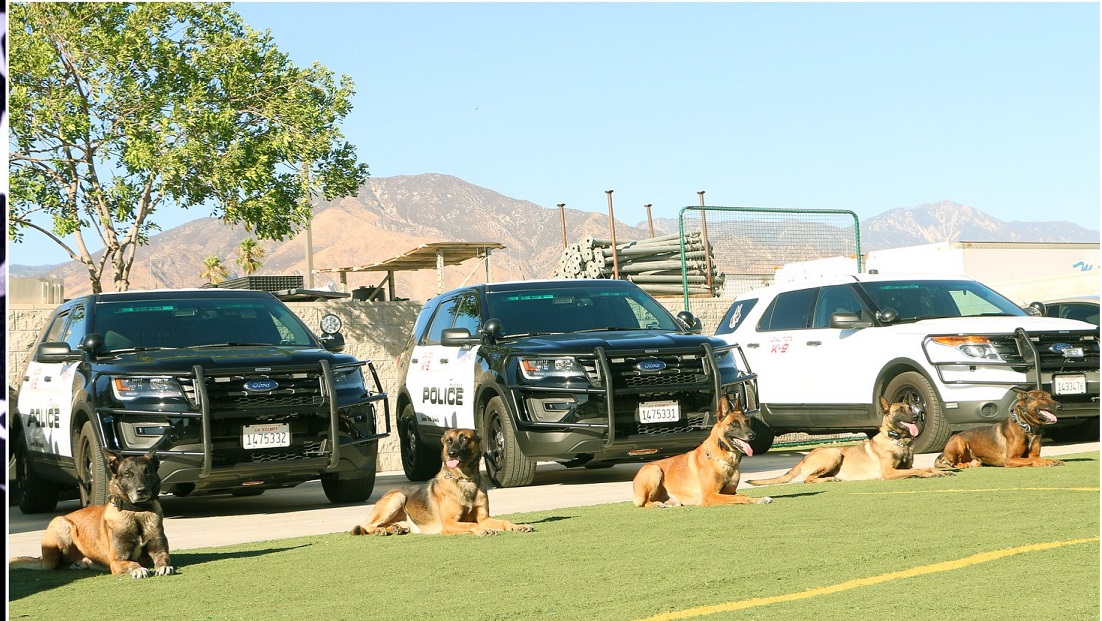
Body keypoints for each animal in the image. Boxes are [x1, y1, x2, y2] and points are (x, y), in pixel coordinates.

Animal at [9, 451, 175, 576]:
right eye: (127, 474)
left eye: (147, 471)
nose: (141, 491)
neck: (136, 512)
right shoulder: (116, 561)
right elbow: (132, 563)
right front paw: (138, 569)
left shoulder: (159, 550)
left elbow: (164, 559)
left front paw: (164, 567)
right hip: (62, 525)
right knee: (56, 565)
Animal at [346, 429, 531, 535]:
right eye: (449, 440)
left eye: (464, 439)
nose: (451, 453)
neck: (464, 479)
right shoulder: (449, 523)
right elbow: (470, 525)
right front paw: (483, 530)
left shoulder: (484, 517)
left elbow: (501, 522)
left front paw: (517, 526)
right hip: (397, 498)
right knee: (367, 525)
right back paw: (381, 530)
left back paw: (395, 528)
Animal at [749, 398, 956, 484]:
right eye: (901, 410)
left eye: (911, 407)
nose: (918, 415)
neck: (898, 441)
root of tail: (806, 456)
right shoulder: (889, 472)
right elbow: (918, 471)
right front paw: (930, 474)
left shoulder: (905, 466)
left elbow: (924, 467)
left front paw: (940, 471)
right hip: (833, 453)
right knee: (808, 479)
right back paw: (830, 479)